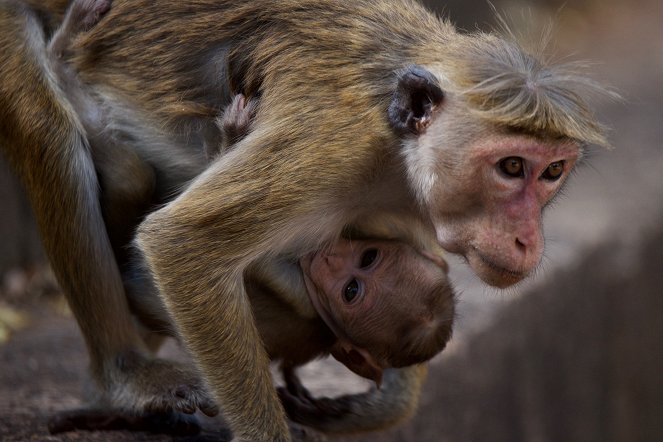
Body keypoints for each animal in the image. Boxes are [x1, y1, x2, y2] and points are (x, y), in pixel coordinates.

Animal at [0, 0, 608, 442]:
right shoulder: (331, 147)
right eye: (512, 167)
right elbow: (183, 242)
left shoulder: (397, 201)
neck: (393, 144)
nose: (526, 239)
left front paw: (382, 405)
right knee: (52, 132)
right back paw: (124, 376)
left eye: (552, 171)